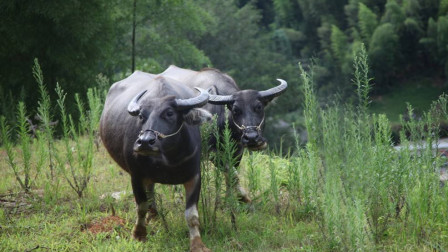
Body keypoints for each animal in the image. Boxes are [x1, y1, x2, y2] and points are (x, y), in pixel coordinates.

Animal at [100, 71, 213, 252]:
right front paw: (139, 234)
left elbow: (192, 214)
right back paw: (153, 216)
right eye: (141, 115)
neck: (168, 158)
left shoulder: (194, 176)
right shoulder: (136, 175)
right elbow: (141, 206)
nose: (145, 142)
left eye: (169, 113)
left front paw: (197, 243)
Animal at [159, 65, 288, 203]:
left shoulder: (237, 151)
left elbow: (231, 175)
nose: (252, 138)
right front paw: (243, 197)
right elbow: (231, 173)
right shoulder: (212, 151)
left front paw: (230, 199)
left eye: (259, 107)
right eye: (236, 110)